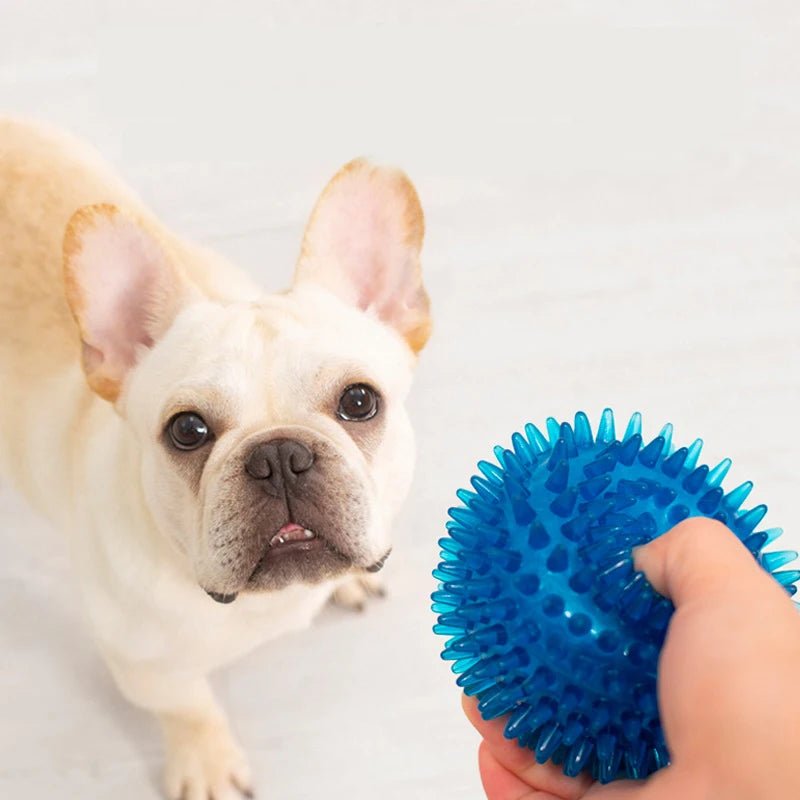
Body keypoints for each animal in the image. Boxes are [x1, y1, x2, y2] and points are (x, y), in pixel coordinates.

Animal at [0, 120, 432, 800]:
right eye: (187, 431)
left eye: (360, 401)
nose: (279, 454)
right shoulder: (143, 665)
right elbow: (189, 708)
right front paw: (205, 762)